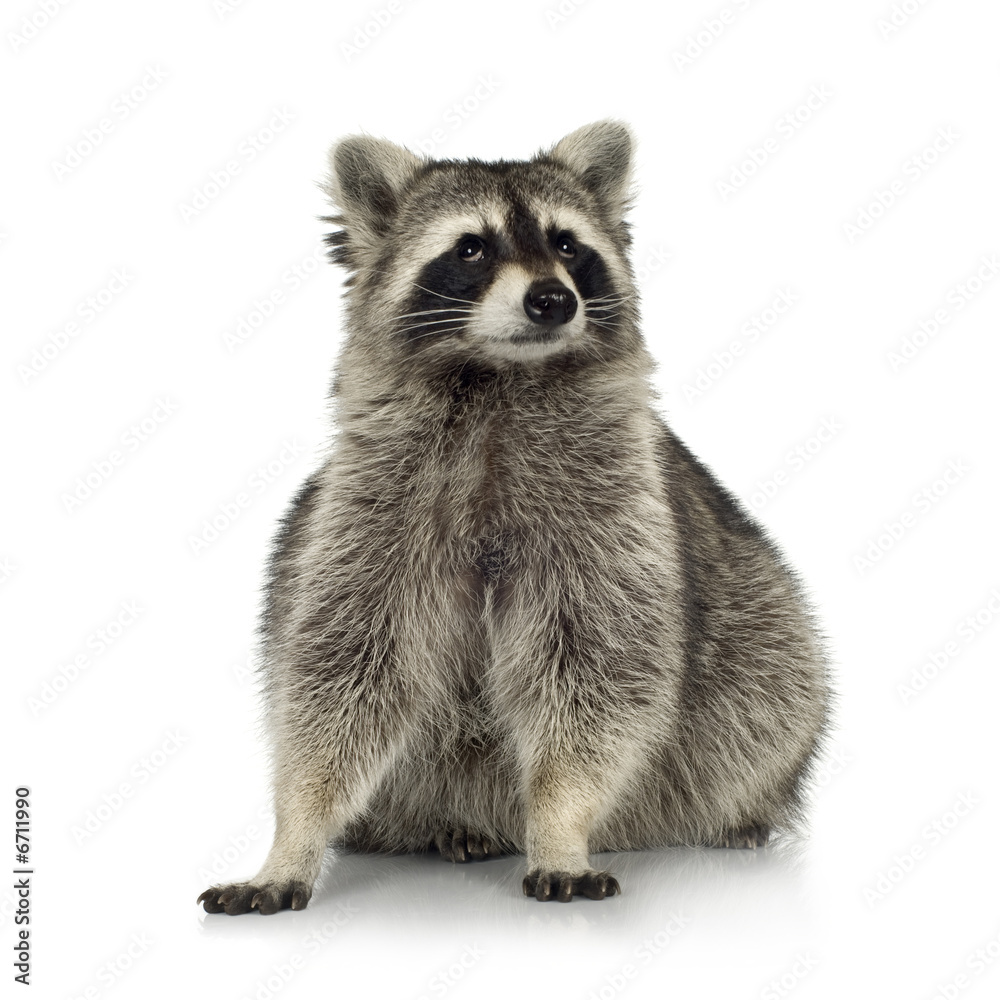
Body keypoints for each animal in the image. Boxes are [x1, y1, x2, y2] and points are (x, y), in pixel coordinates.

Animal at [198, 121, 830, 914]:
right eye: (471, 248)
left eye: (567, 244)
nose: (553, 299)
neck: (499, 378)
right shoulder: (366, 513)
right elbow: (339, 675)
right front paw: (295, 834)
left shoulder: (614, 518)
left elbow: (600, 676)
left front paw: (560, 822)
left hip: (766, 647)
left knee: (777, 681)